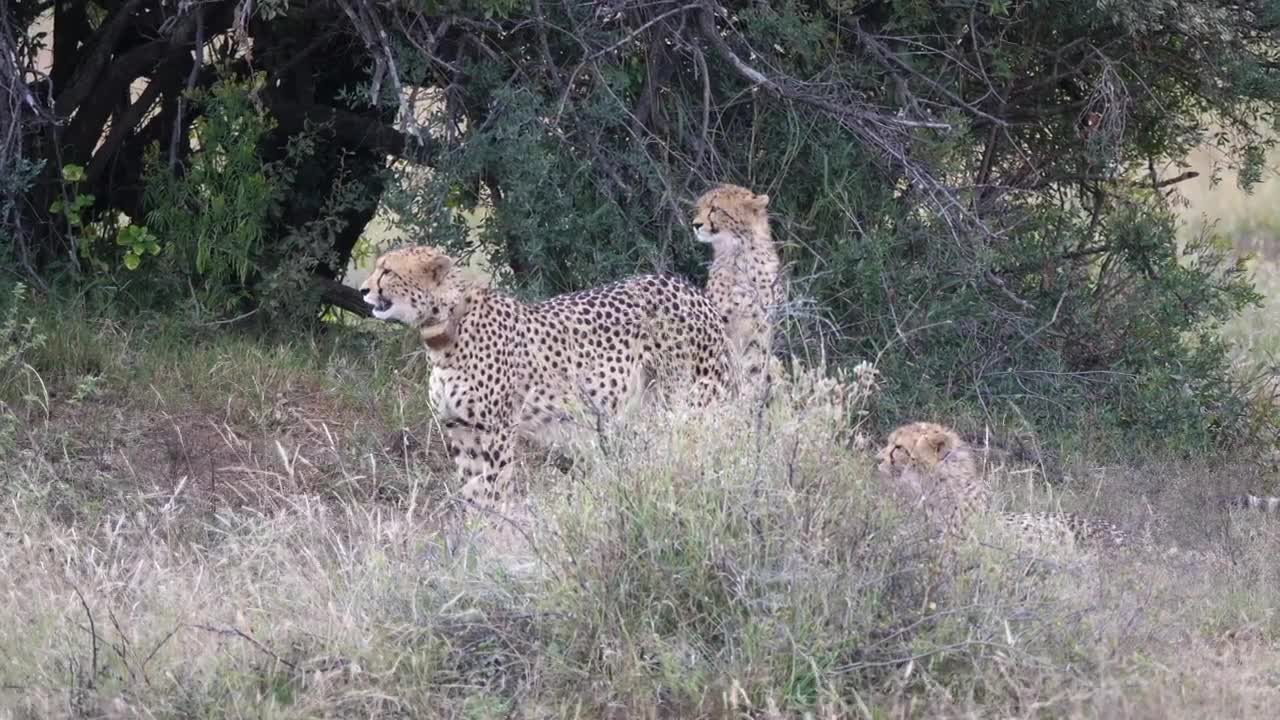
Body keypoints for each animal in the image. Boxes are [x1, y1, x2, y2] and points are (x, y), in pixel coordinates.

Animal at [359, 244, 732, 517]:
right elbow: (471, 489)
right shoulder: (461, 429)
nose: (363, 290)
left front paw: (495, 532)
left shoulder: (496, 430)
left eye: (388, 271)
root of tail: (687, 287)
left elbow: (493, 486)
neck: (445, 330)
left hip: (690, 398)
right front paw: (473, 534)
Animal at [691, 183, 783, 398]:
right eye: (699, 208)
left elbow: (754, 369)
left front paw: (749, 398)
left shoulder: (760, 331)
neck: (739, 255)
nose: (695, 224)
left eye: (715, 209)